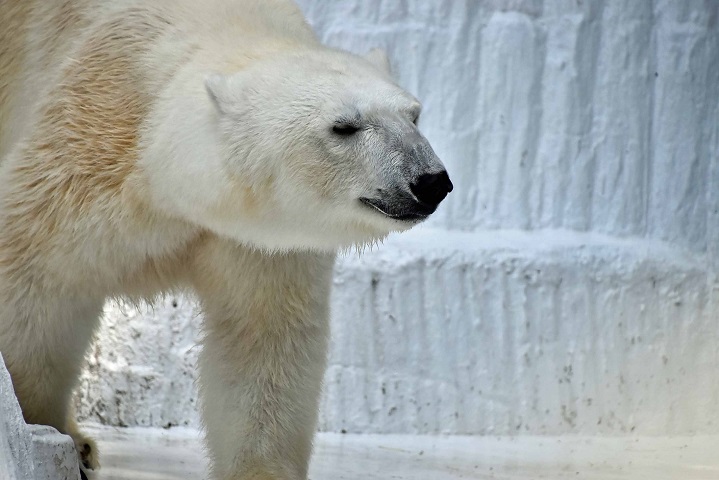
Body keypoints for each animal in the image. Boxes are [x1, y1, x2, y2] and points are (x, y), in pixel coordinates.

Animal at [0, 0, 452, 478]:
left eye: (414, 114)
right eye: (343, 126)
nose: (430, 181)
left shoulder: (262, 243)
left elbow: (263, 340)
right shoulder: (84, 153)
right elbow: (37, 285)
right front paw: (44, 435)